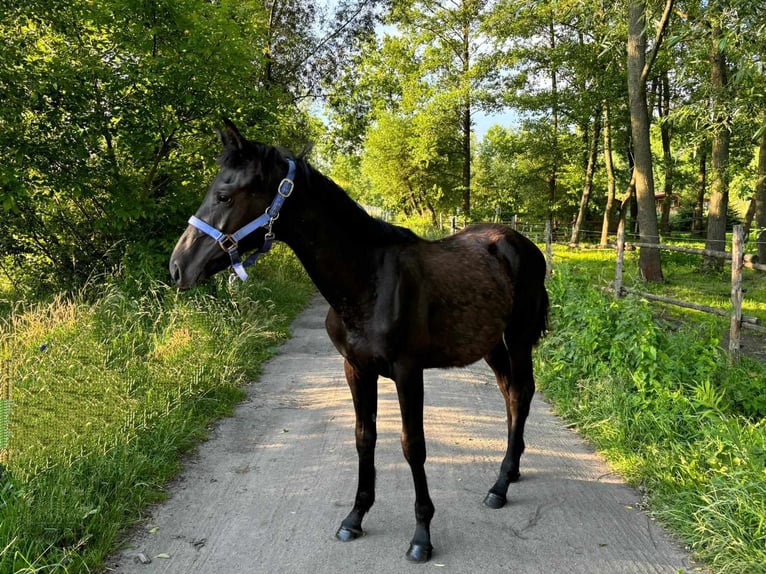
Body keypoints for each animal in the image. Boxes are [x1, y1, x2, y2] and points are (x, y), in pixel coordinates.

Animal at [170, 120, 548, 564]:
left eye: (225, 195)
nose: (178, 268)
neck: (369, 280)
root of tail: (521, 243)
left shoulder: (408, 372)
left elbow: (413, 445)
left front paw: (421, 536)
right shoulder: (356, 369)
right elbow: (364, 437)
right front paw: (355, 517)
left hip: (518, 336)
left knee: (521, 392)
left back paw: (501, 484)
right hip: (490, 343)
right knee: (510, 393)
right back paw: (511, 470)